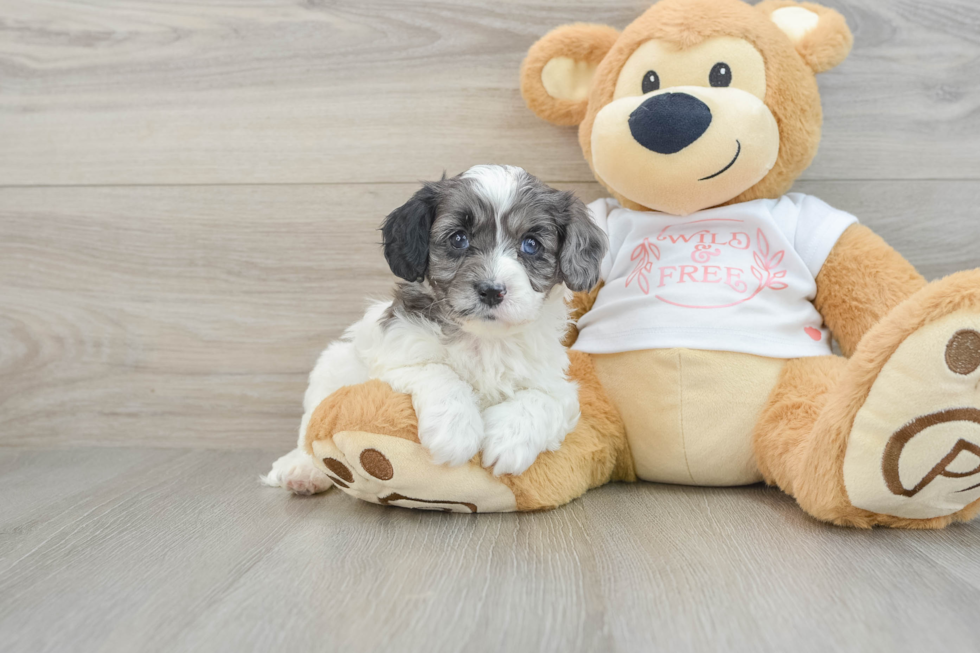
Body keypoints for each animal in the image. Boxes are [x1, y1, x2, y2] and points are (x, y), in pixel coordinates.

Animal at [264, 164, 608, 494]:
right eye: (458, 239)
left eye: (531, 244)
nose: (491, 290)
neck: (484, 341)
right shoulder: (398, 353)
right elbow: (439, 370)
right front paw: (456, 431)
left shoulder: (555, 383)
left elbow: (545, 399)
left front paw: (508, 440)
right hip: (332, 365)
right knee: (310, 425)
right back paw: (301, 469)